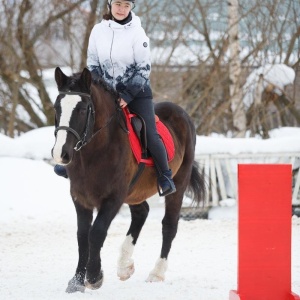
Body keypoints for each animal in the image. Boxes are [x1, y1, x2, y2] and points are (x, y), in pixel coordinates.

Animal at [51, 66, 206, 292]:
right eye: (57, 107)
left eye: (82, 109)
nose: (60, 154)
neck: (95, 152)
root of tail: (181, 112)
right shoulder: (81, 198)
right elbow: (82, 236)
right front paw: (77, 281)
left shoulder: (113, 198)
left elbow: (96, 232)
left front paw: (94, 276)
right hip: (134, 191)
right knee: (141, 213)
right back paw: (125, 266)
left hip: (178, 183)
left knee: (169, 225)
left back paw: (156, 273)